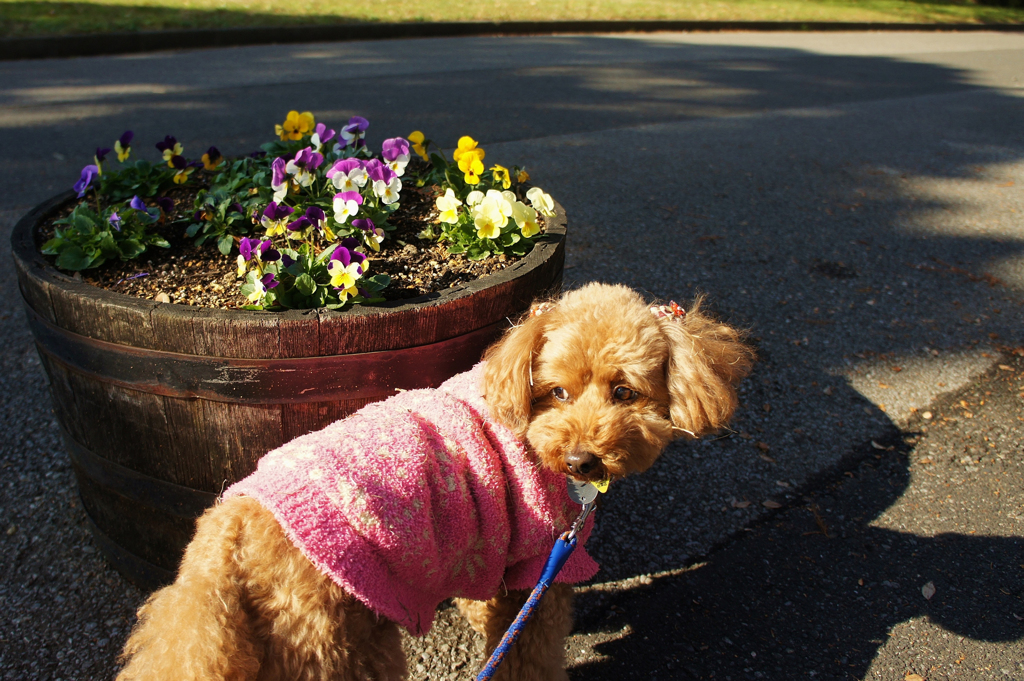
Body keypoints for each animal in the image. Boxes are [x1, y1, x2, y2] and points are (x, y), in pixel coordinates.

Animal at [116, 280, 753, 679]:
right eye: (557, 392)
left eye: (624, 393)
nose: (581, 462)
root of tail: (224, 538)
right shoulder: (539, 563)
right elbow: (526, 653)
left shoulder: (493, 555)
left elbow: (485, 606)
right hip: (343, 646)